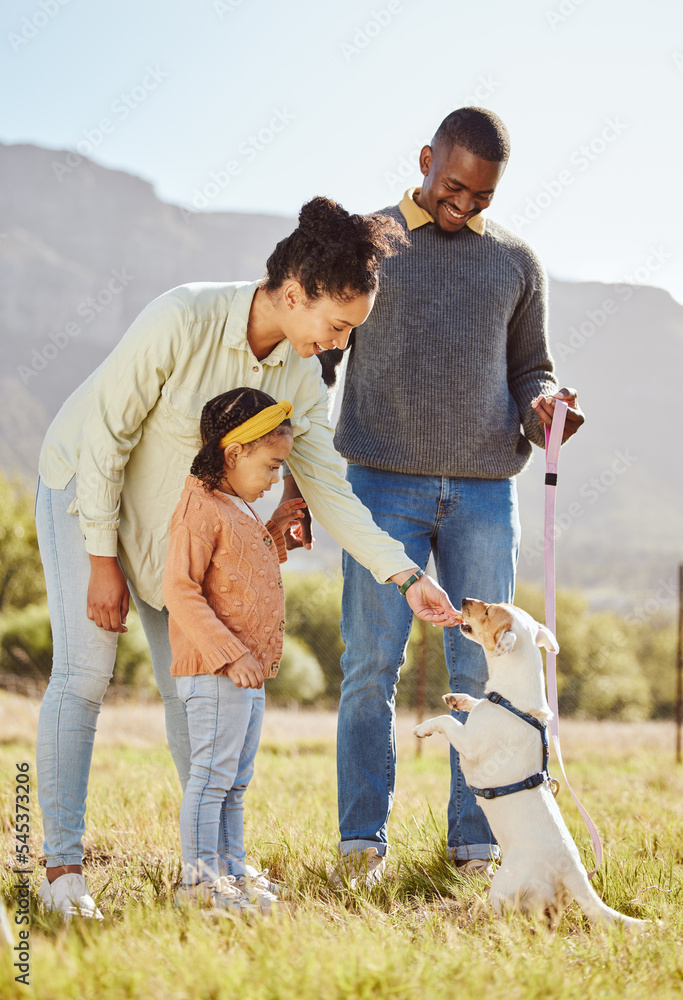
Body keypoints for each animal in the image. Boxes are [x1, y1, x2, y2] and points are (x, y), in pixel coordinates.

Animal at [414, 592, 644, 928]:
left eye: (488, 611)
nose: (465, 598)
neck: (512, 701)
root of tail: (574, 874)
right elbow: (472, 702)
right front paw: (458, 698)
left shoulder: (469, 743)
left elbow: (446, 721)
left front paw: (423, 728)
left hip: (504, 885)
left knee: (518, 918)